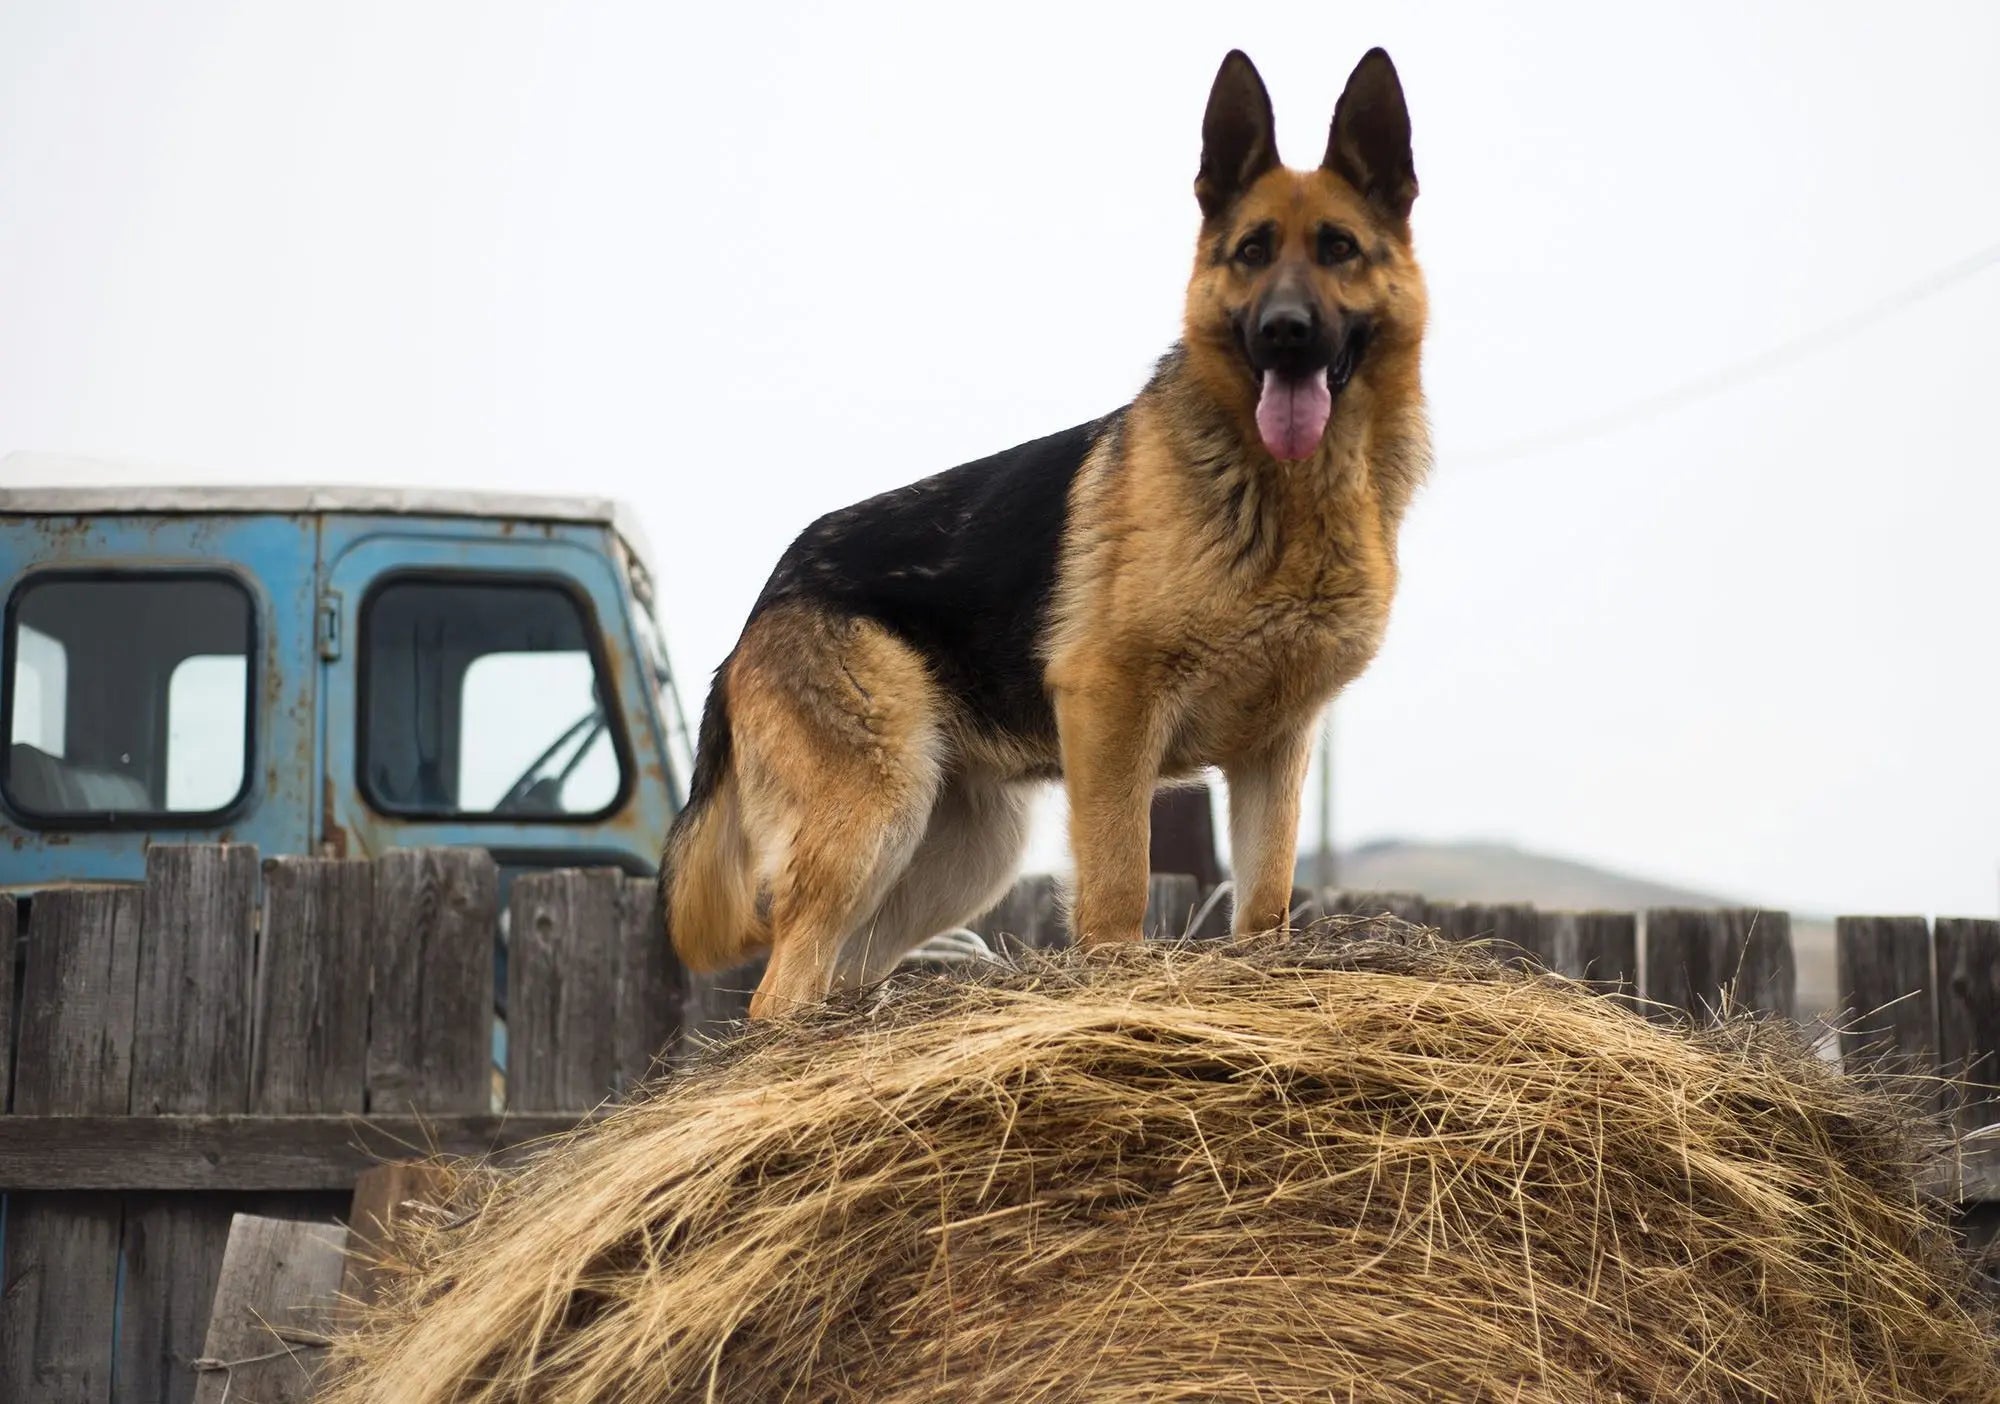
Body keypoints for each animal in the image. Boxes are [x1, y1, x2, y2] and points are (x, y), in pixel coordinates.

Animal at [668, 49, 1424, 1016]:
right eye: (1251, 252)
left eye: (1338, 249)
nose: (1284, 334)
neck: (1285, 498)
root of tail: (764, 602)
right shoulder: (1110, 711)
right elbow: (1119, 888)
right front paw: (1119, 991)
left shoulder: (1274, 752)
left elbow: (1265, 910)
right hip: (874, 820)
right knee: (777, 994)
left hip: (952, 857)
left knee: (833, 975)